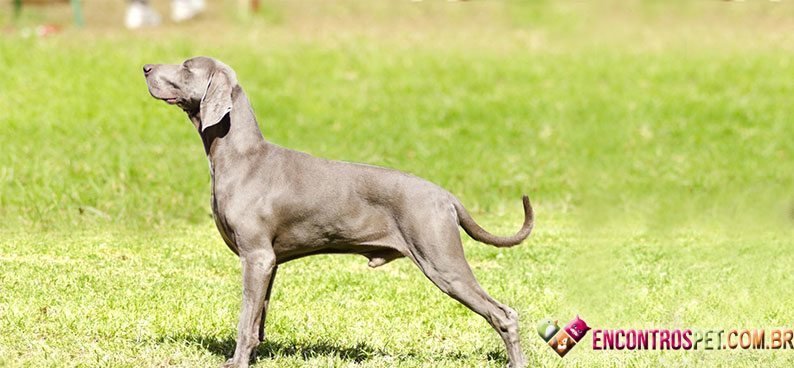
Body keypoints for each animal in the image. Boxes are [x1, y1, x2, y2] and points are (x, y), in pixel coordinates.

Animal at [145, 56, 536, 366]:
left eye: (187, 66)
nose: (146, 67)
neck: (241, 157)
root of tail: (446, 196)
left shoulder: (256, 256)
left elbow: (244, 321)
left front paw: (238, 362)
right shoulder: (269, 262)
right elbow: (257, 319)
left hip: (442, 261)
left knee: (504, 313)